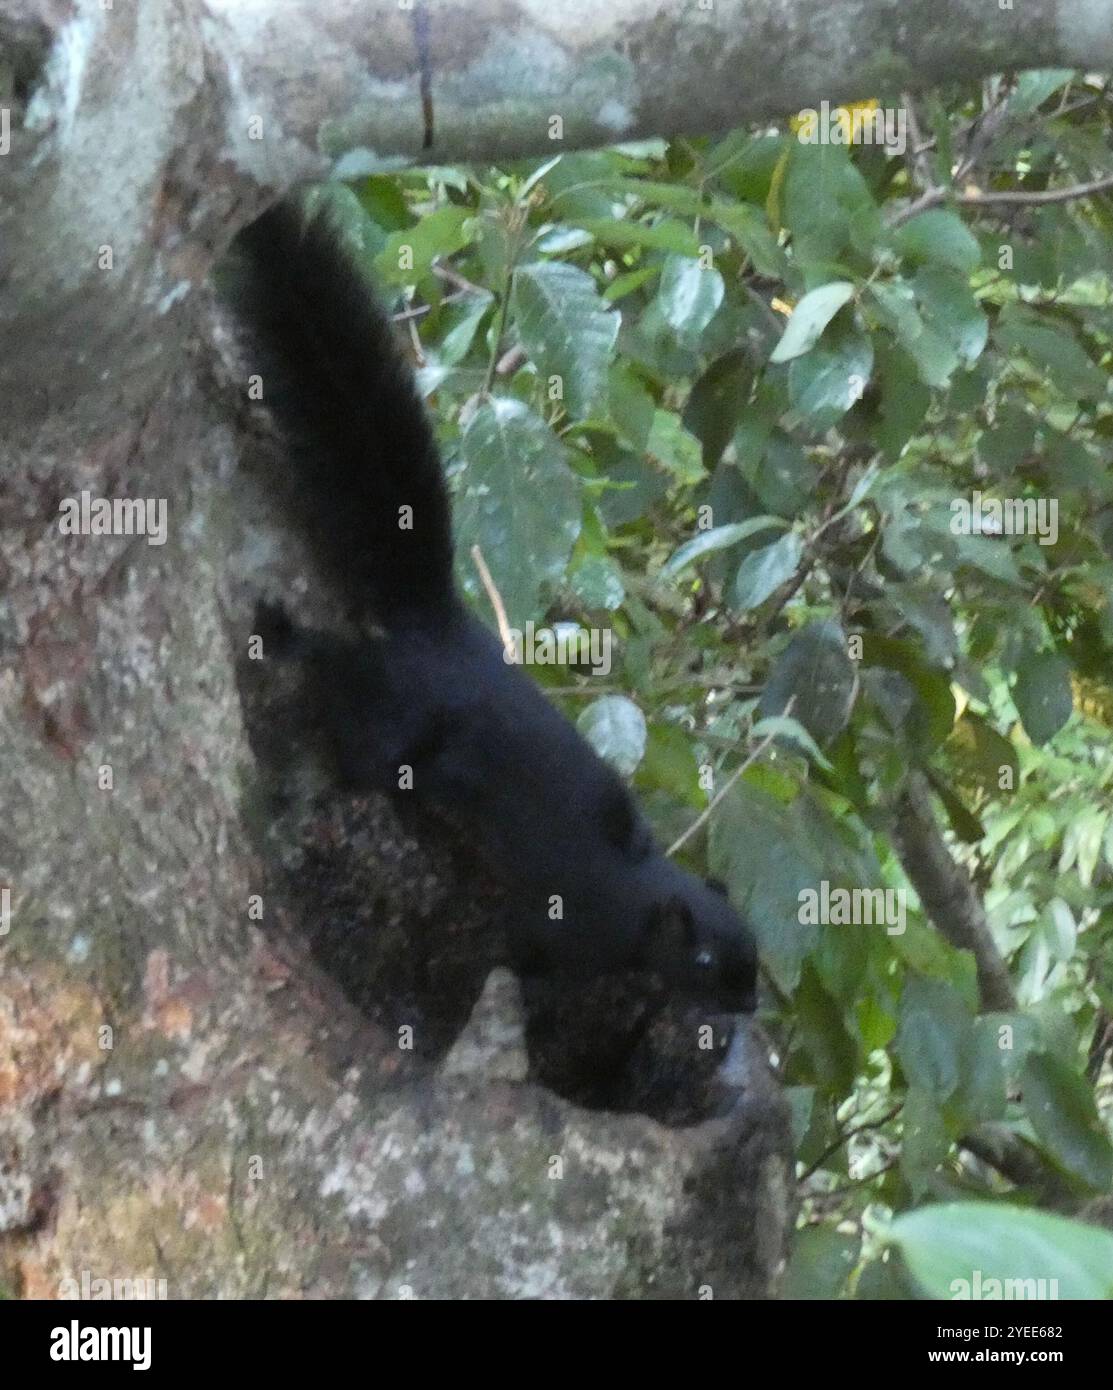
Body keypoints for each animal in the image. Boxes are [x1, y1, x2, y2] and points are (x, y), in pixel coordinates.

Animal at [232, 201, 759, 1013]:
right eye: (703, 961)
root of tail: (443, 625)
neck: (642, 891)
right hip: (395, 718)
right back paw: (286, 639)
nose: (747, 1001)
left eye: (753, 955)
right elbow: (528, 957)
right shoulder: (576, 924)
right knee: (343, 691)